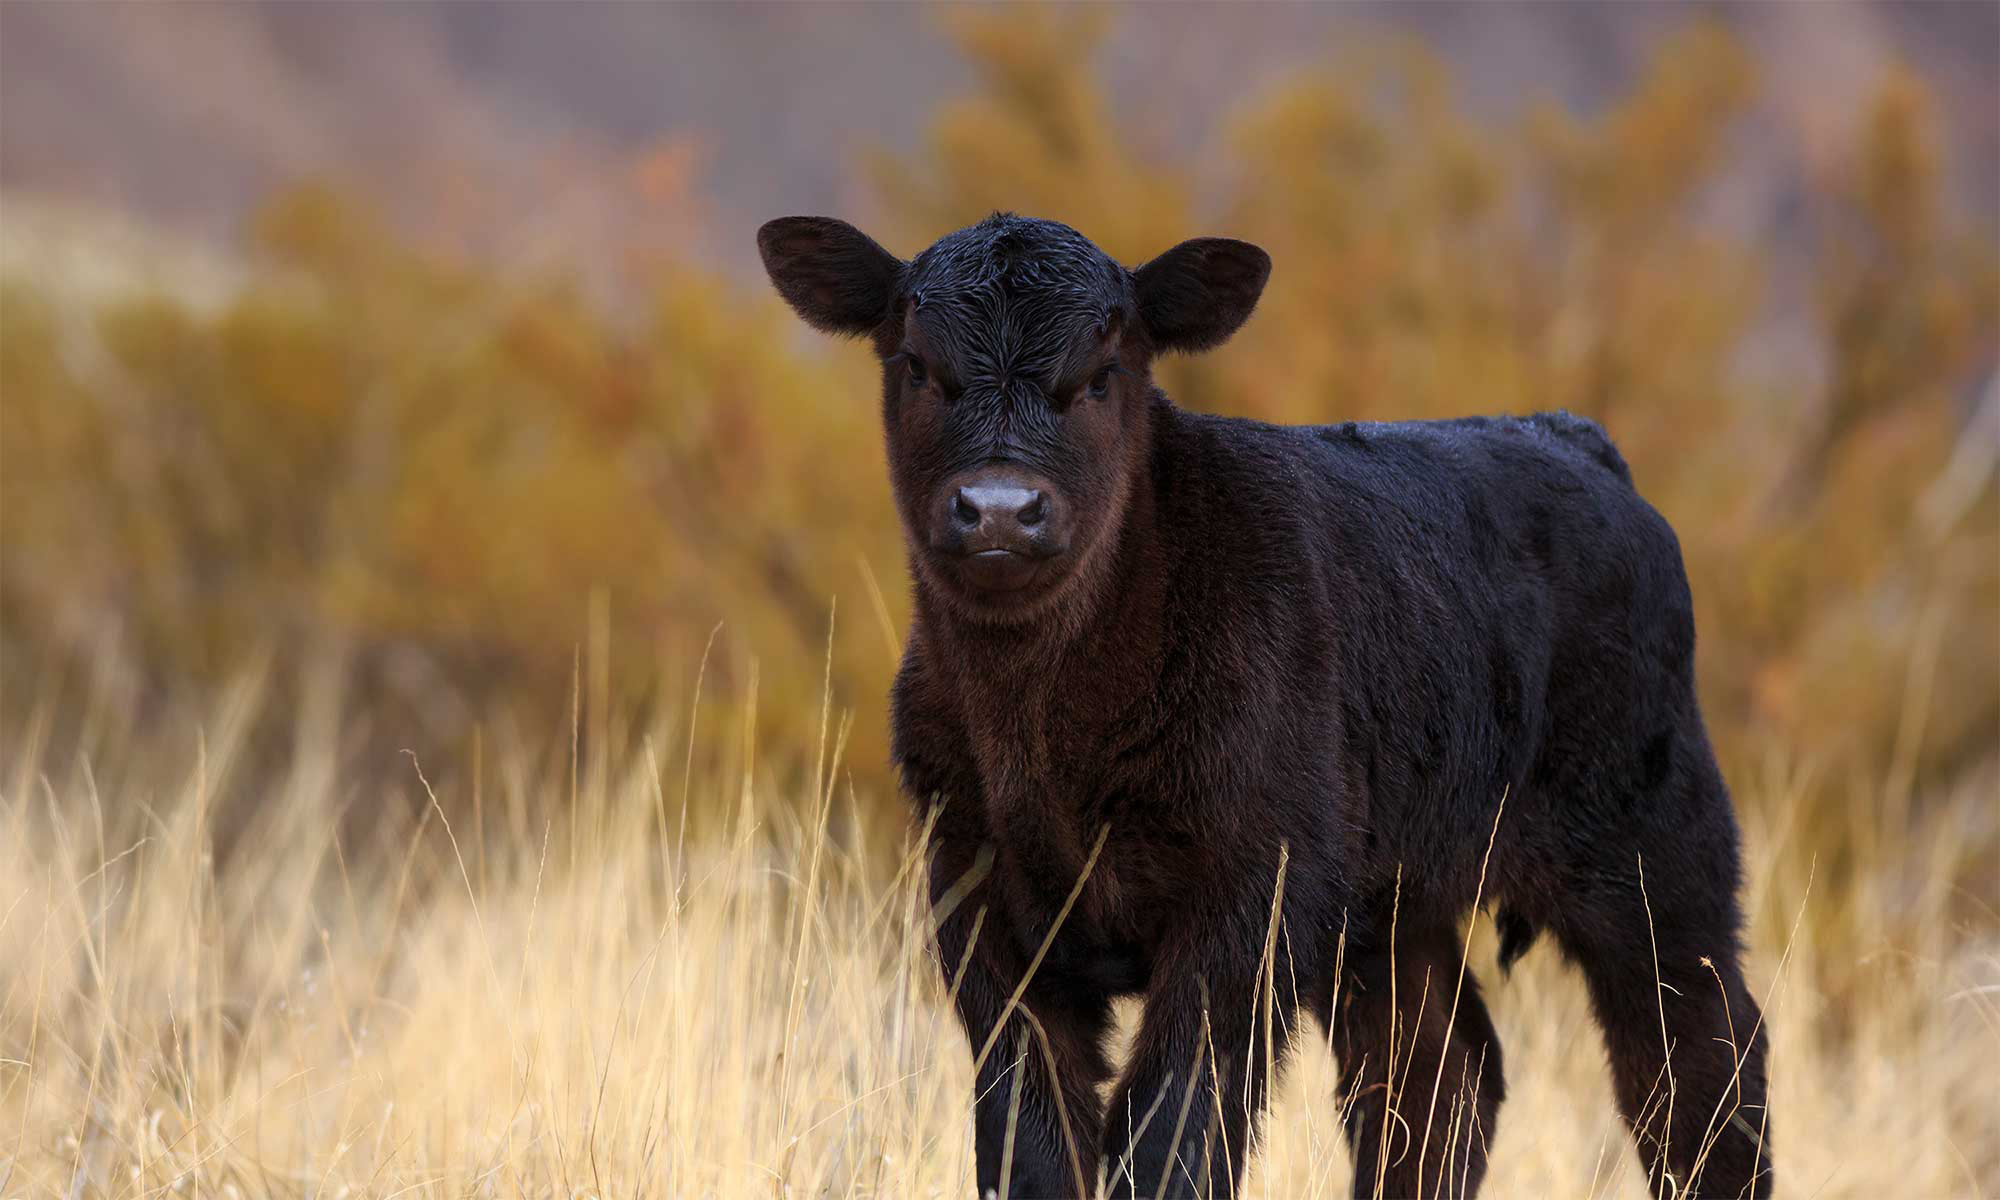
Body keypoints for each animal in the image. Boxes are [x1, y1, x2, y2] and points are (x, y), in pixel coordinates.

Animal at [756, 211, 1776, 1192]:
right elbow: (1032, 1141)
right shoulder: (979, 901)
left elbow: (1170, 1134)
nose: (1000, 509)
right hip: (1394, 903)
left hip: (1654, 850)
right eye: (917, 366)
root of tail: (1565, 435)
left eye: (1102, 375)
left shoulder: (1250, 900)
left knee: (1698, 1070)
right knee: (1436, 1075)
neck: (1046, 736)